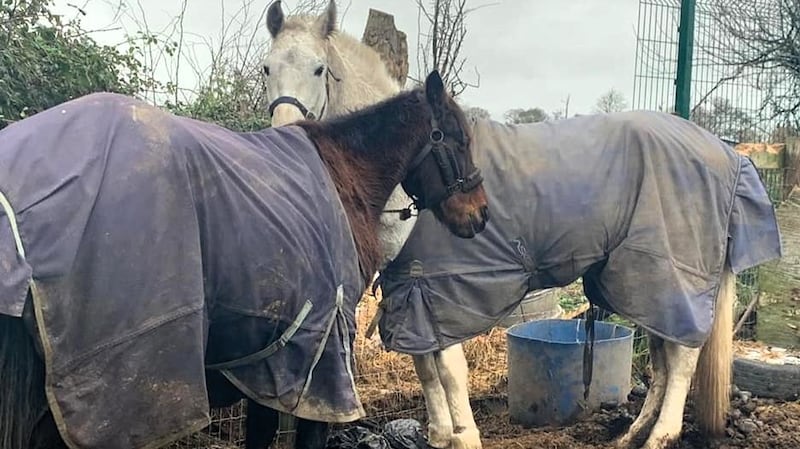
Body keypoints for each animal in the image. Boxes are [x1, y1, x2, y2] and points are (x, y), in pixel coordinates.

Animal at [261, 3, 784, 449]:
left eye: (319, 69)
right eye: (267, 68)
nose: (282, 137)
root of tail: (726, 152)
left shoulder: (442, 291)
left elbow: (449, 370)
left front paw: (465, 436)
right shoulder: (411, 293)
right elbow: (426, 368)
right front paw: (441, 435)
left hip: (669, 274)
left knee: (683, 358)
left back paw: (661, 436)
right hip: (646, 282)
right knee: (664, 354)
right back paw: (633, 435)